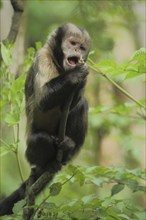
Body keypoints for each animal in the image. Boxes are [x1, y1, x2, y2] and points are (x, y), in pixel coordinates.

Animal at [0, 23, 91, 216]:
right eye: (72, 43)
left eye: (82, 47)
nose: (76, 51)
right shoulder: (42, 57)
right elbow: (42, 100)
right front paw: (76, 75)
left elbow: (72, 105)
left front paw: (81, 79)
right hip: (30, 155)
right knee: (40, 139)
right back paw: (46, 165)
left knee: (82, 105)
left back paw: (68, 149)